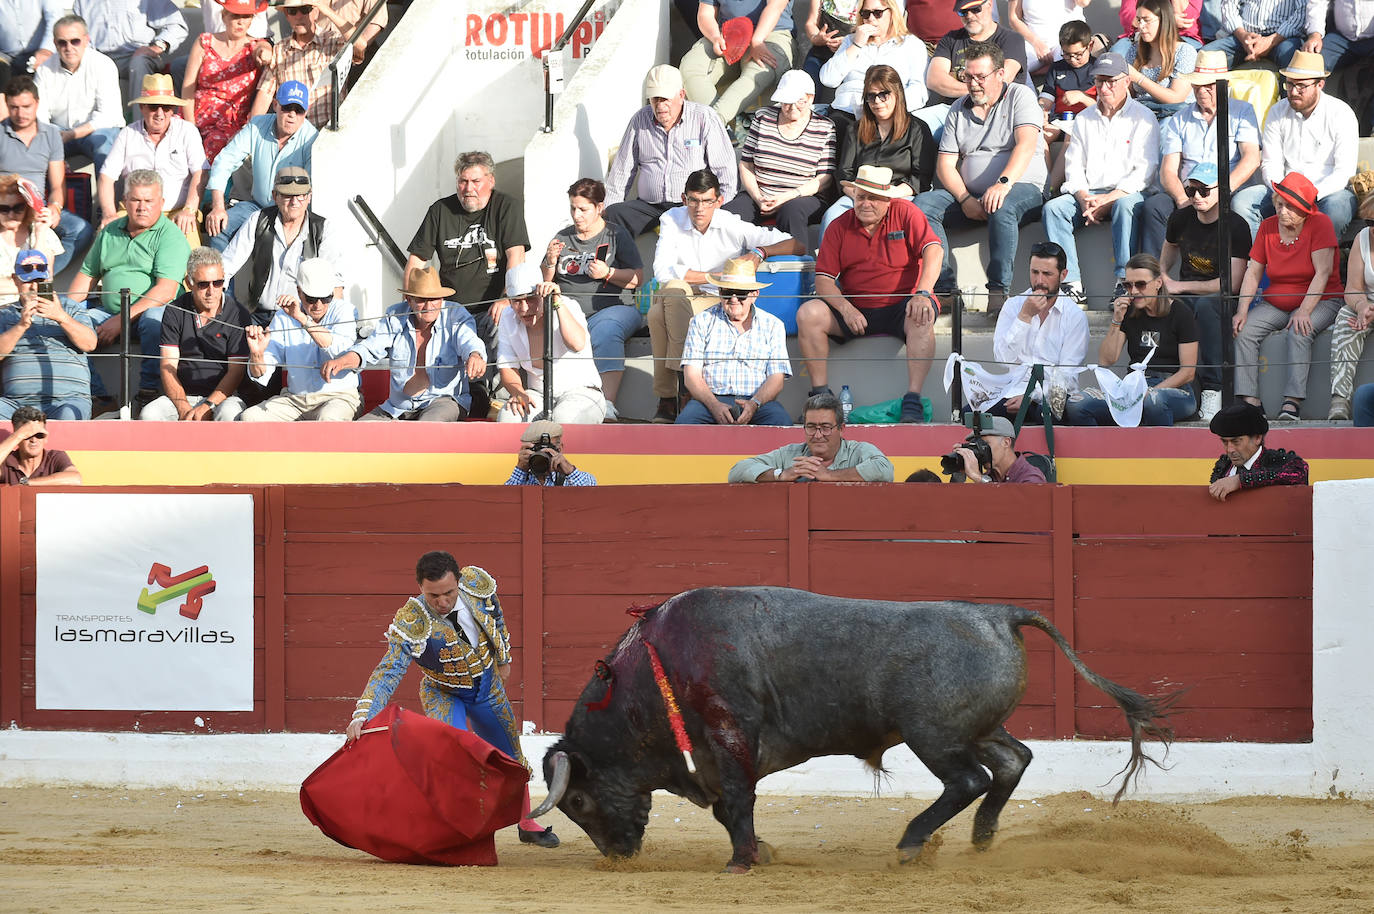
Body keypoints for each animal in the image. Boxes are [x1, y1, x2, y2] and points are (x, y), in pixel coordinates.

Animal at [530, 585, 1176, 868]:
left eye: (578, 800)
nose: (617, 856)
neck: (656, 668)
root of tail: (997, 615)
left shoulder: (731, 735)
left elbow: (736, 800)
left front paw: (742, 860)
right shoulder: (718, 755)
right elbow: (726, 807)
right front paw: (759, 850)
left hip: (932, 735)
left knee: (968, 780)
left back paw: (913, 842)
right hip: (975, 728)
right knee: (1012, 762)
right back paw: (981, 837)